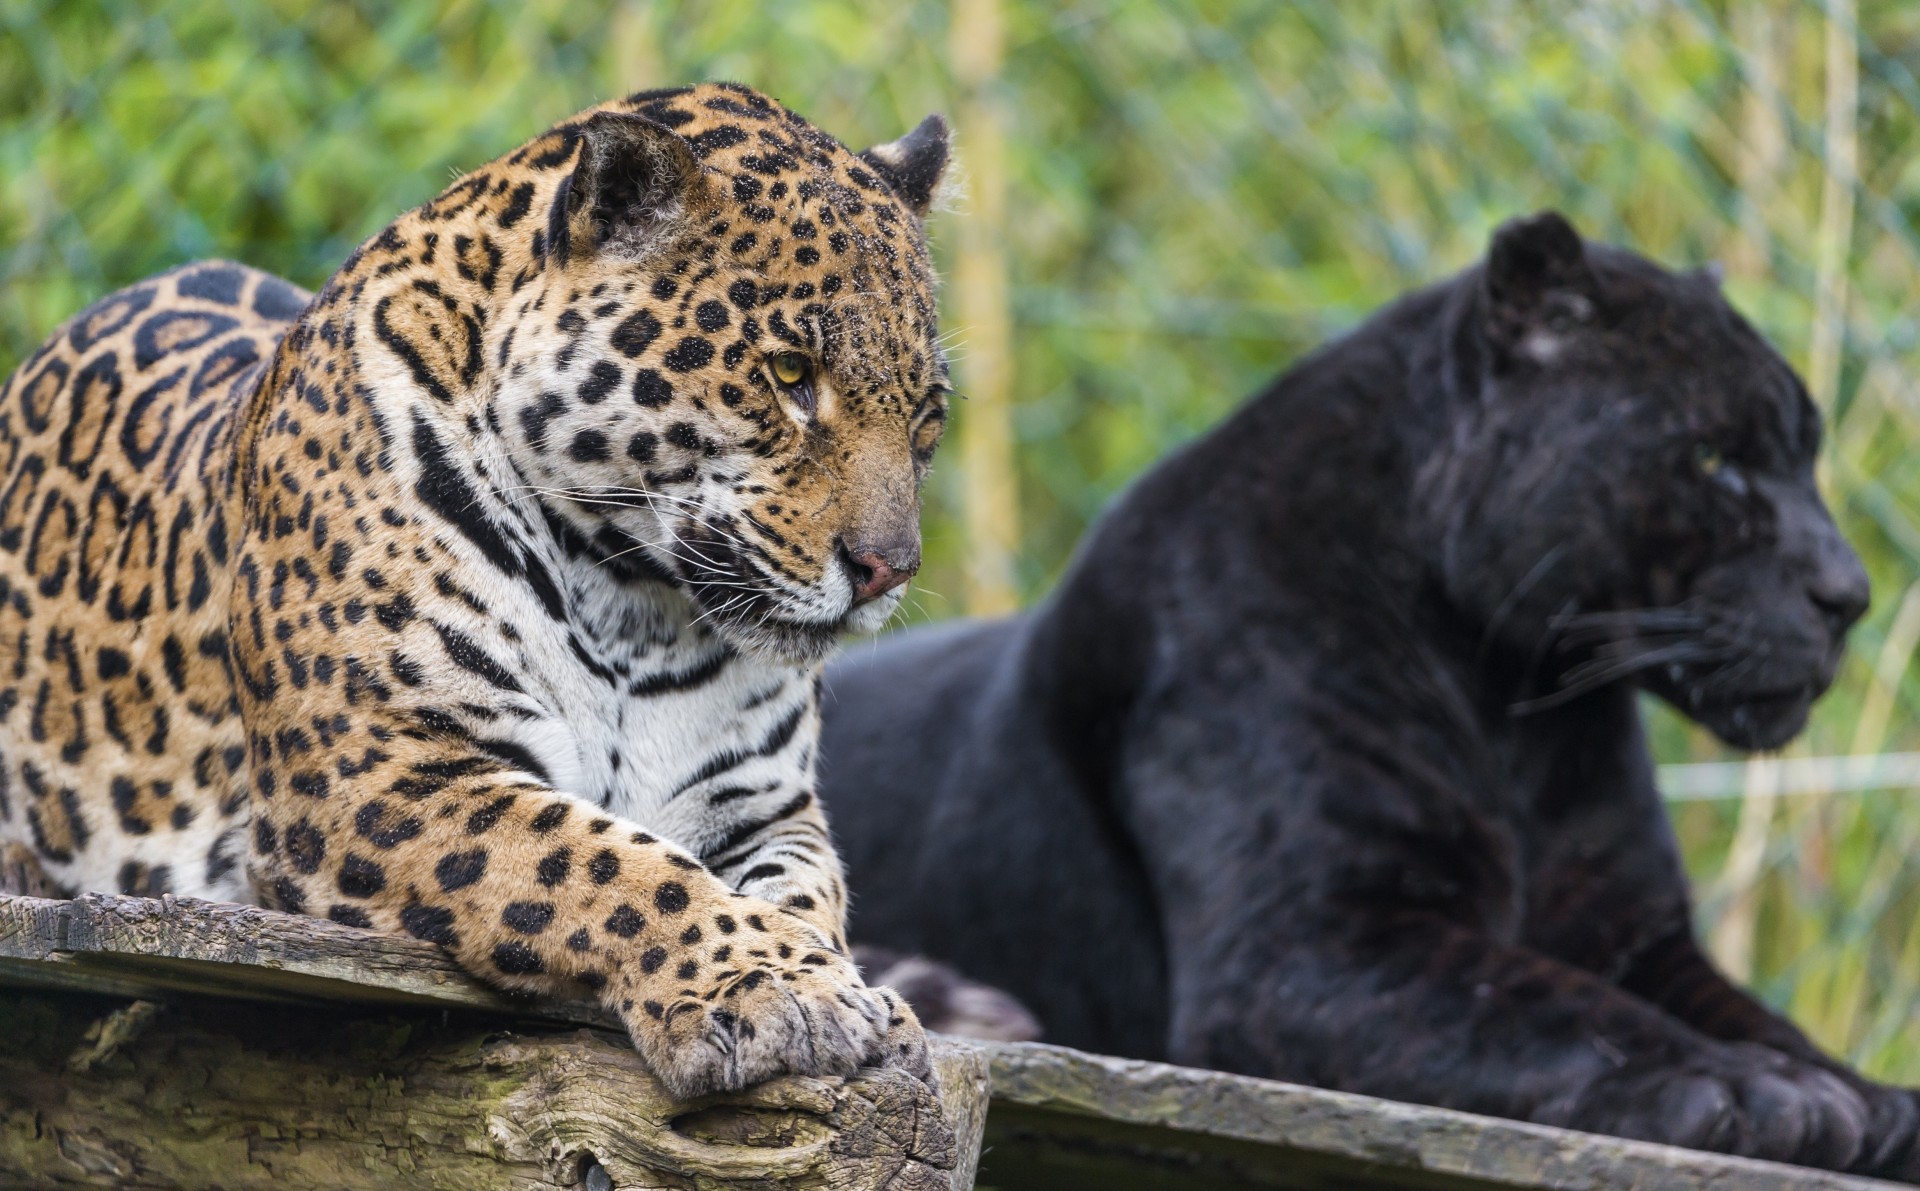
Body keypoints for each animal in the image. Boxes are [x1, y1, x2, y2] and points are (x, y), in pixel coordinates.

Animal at [0, 81, 954, 1100]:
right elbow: (606, 861)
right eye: (788, 375)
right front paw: (775, 983)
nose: (888, 568)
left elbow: (807, 890)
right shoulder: (375, 768)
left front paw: (853, 989)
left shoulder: (763, 805)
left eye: (926, 415)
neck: (636, 604)